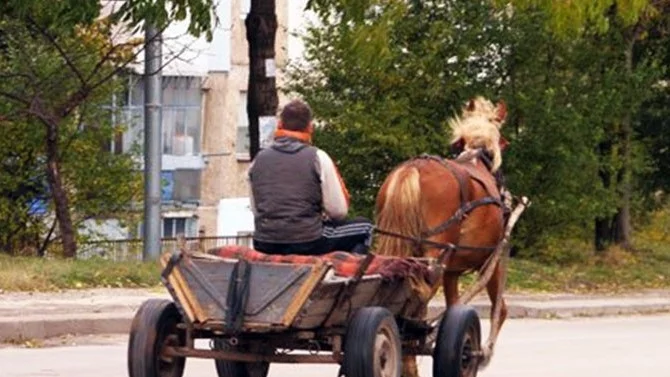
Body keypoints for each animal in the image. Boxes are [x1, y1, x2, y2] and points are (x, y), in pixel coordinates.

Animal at [376, 96, 512, 376]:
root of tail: (412, 169)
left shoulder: (452, 271)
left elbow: (453, 306)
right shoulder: (492, 259)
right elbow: (500, 309)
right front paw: (483, 353)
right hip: (434, 255)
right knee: (419, 296)